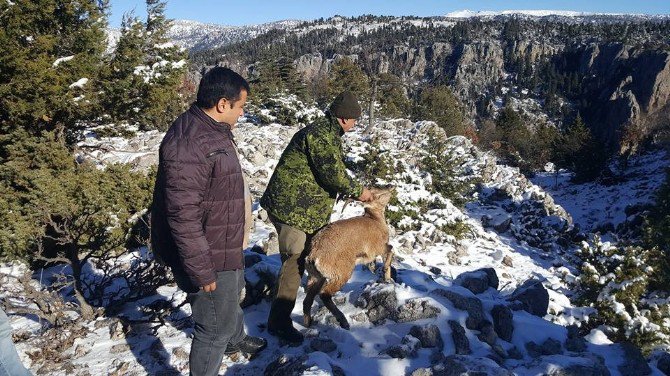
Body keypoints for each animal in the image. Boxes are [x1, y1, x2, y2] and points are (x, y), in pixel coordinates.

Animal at [304, 188, 394, 328]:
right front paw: (386, 276)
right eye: (375, 194)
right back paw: (343, 321)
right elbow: (390, 250)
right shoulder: (378, 247)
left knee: (307, 301)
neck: (376, 221)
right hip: (341, 274)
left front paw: (380, 274)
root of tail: (313, 255)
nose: (390, 186)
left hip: (316, 278)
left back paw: (307, 323)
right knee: (324, 295)